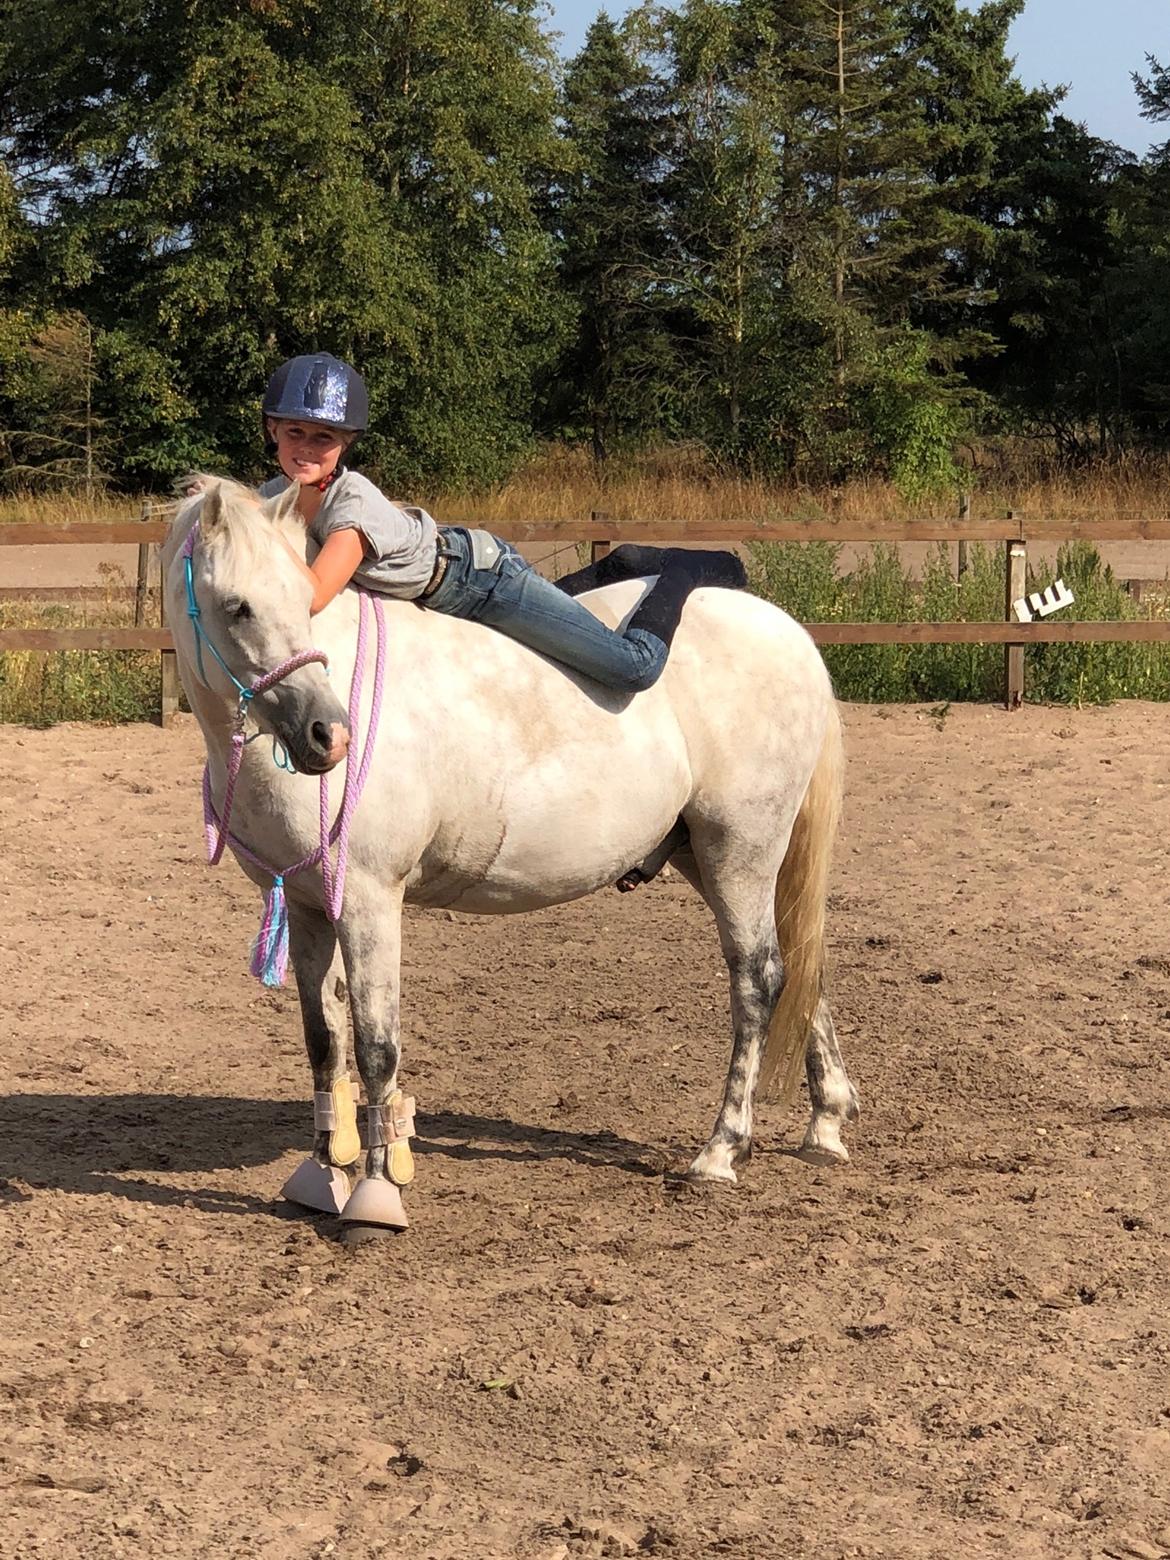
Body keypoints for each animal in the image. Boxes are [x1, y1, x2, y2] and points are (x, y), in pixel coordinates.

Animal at [163, 479, 858, 1238]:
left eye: (302, 596)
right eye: (238, 606)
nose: (328, 735)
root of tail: (791, 636)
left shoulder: (373, 901)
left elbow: (376, 1045)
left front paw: (375, 1194)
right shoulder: (309, 905)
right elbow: (325, 1042)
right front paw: (323, 1174)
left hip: (740, 848)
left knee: (758, 977)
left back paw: (722, 1150)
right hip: (704, 856)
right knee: (798, 965)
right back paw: (826, 1123)